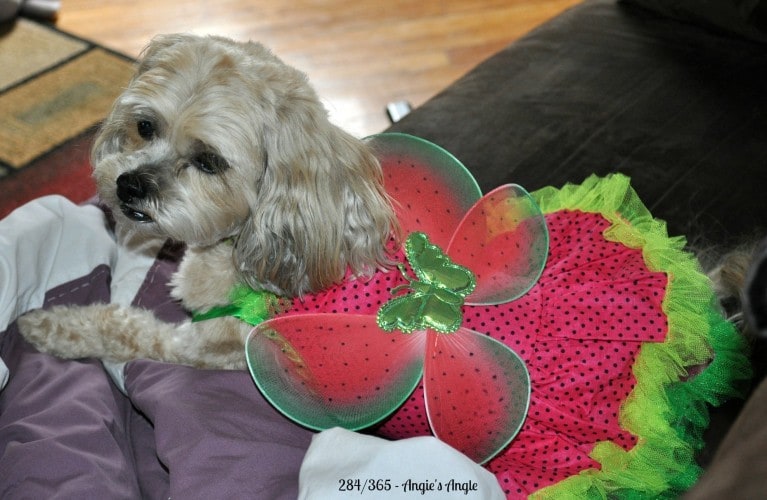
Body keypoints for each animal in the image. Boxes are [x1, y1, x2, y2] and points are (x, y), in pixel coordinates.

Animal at [18, 34, 396, 368]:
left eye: (209, 161)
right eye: (145, 126)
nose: (129, 186)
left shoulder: (202, 344)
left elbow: (124, 328)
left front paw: (50, 325)